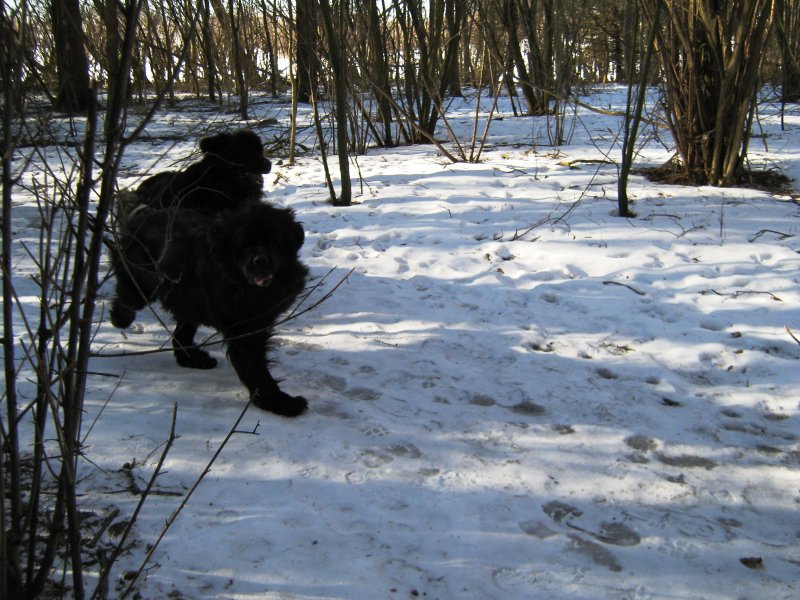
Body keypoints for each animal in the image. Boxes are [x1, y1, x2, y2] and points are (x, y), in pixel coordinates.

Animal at [110, 195, 309, 417]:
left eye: (273, 241)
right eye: (244, 245)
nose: (260, 261)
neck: (242, 286)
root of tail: (143, 214)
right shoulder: (242, 329)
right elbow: (256, 367)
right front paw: (278, 402)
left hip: (187, 297)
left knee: (182, 332)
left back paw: (192, 358)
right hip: (143, 283)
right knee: (128, 296)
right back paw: (120, 318)